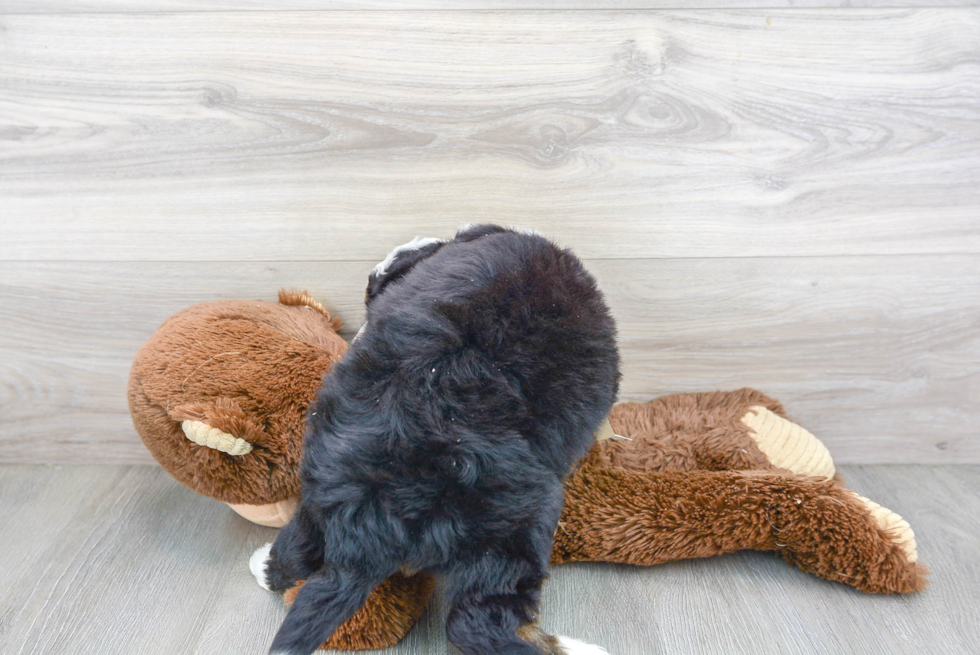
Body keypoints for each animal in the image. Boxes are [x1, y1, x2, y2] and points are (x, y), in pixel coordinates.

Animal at [253, 226, 620, 655]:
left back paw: (263, 565)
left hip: (319, 489)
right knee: (477, 623)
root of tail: (377, 512)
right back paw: (574, 646)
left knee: (296, 548)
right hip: (512, 533)